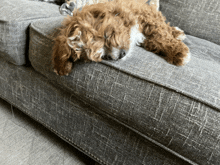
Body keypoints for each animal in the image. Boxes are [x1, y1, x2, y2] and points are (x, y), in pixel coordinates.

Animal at [52, 0, 190, 75]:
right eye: (101, 56)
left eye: (106, 35)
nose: (120, 55)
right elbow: (154, 41)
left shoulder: (146, 16)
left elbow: (160, 35)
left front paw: (178, 53)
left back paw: (177, 32)